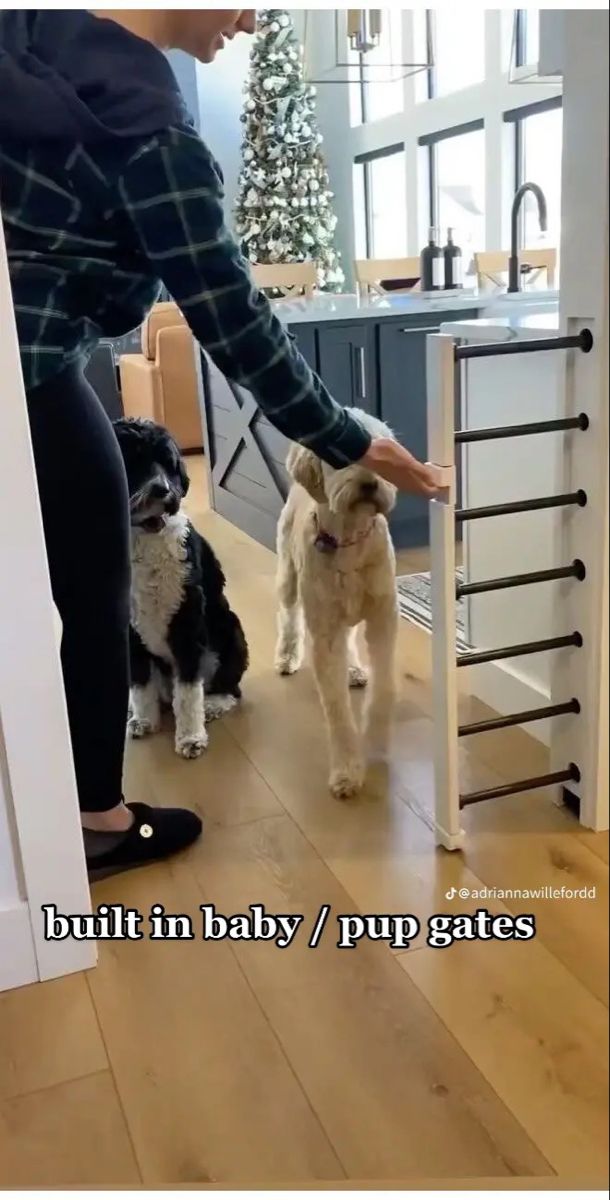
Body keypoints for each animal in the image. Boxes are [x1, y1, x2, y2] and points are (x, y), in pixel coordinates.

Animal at [113, 422, 248, 758]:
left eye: (168, 462)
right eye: (134, 458)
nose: (163, 490)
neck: (146, 534)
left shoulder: (186, 625)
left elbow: (187, 693)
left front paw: (189, 737)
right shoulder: (130, 632)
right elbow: (140, 683)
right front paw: (144, 719)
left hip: (231, 631)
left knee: (230, 688)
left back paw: (213, 705)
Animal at [273, 410, 398, 796]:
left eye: (383, 450)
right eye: (341, 455)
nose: (371, 484)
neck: (349, 539)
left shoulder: (383, 617)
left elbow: (385, 688)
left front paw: (377, 738)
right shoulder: (325, 630)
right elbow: (337, 709)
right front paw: (346, 771)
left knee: (351, 636)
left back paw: (355, 669)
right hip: (289, 577)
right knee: (288, 616)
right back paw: (287, 656)